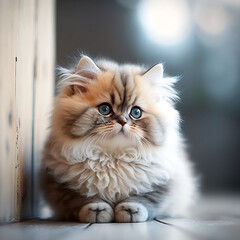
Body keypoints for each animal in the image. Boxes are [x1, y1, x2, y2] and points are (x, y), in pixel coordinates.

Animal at [41, 55, 197, 222]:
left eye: (136, 112)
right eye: (105, 109)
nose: (122, 121)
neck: (114, 157)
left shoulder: (163, 181)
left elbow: (144, 199)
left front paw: (130, 210)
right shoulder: (59, 182)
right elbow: (81, 199)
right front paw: (97, 210)